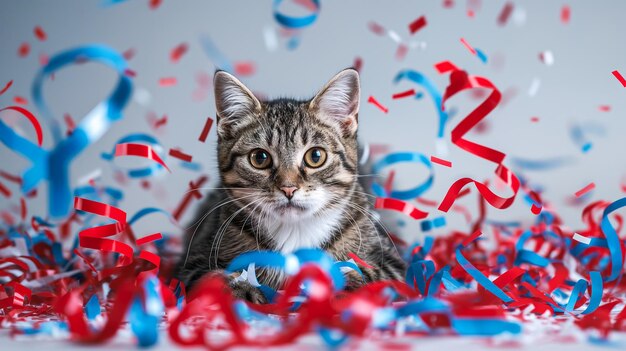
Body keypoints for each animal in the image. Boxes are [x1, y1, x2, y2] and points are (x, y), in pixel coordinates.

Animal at [174, 68, 404, 302]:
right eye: (259, 158)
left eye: (316, 156)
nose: (288, 188)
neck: (295, 232)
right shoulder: (192, 262)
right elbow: (212, 276)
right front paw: (242, 287)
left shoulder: (393, 264)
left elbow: (370, 274)